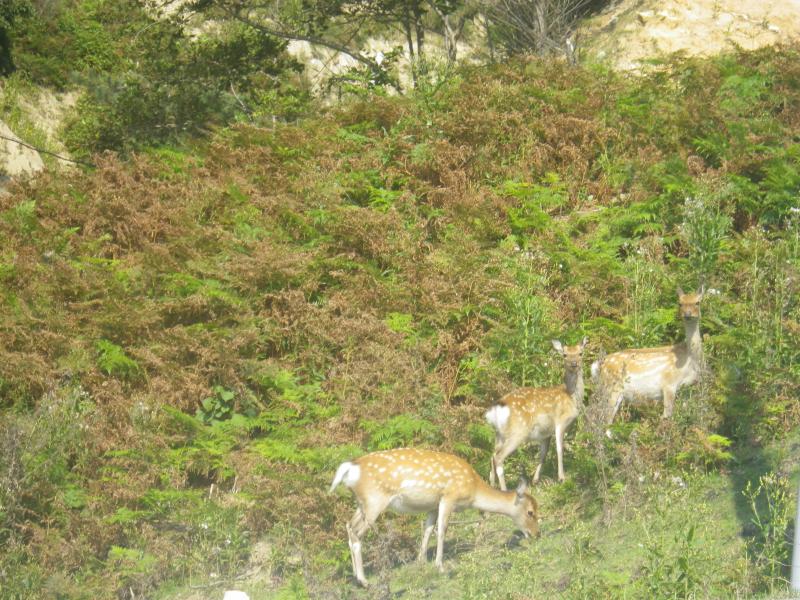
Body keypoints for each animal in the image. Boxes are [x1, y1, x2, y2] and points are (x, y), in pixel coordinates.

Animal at [328, 450, 540, 584]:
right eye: (530, 512)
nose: (536, 534)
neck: (472, 490)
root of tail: (349, 468)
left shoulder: (432, 505)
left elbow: (428, 529)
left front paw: (420, 562)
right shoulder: (448, 497)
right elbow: (442, 530)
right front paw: (440, 566)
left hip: (362, 503)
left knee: (348, 526)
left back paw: (355, 576)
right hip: (375, 500)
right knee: (356, 532)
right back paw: (363, 580)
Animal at [482, 338, 588, 488]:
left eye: (580, 353)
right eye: (564, 355)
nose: (574, 364)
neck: (571, 396)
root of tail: (495, 410)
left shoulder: (546, 433)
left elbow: (543, 454)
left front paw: (535, 480)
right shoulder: (560, 422)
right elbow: (559, 449)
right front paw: (561, 478)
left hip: (499, 434)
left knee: (492, 455)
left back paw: (492, 485)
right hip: (518, 431)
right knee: (498, 457)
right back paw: (504, 488)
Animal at [592, 288, 704, 432]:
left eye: (698, 302)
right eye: (680, 303)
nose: (687, 314)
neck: (689, 359)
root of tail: (598, 366)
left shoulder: (684, 389)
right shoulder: (669, 385)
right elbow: (667, 416)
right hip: (611, 389)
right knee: (602, 421)